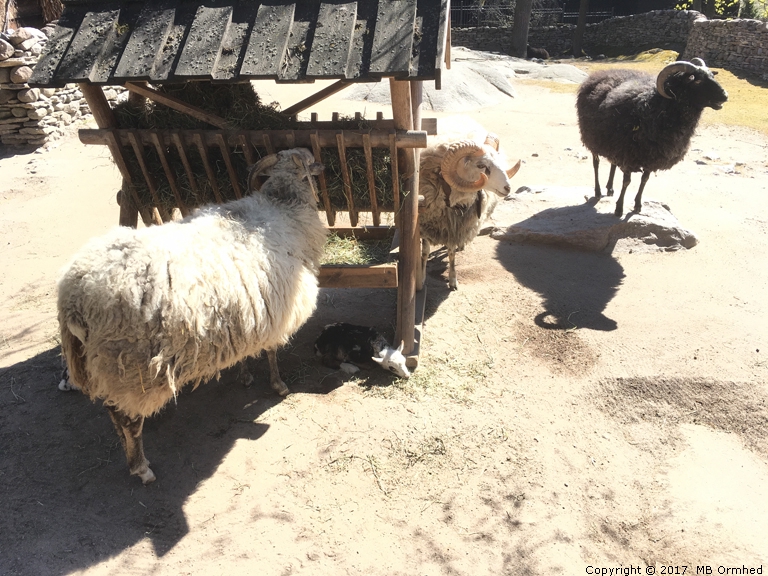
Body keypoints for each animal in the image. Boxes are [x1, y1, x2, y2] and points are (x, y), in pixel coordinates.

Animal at [56, 146, 328, 484]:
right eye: (308, 163)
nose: (324, 165)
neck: (284, 204)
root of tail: (74, 296)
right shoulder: (279, 309)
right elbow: (271, 352)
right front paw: (278, 385)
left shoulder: (247, 313)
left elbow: (247, 351)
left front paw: (244, 374)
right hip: (130, 364)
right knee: (126, 417)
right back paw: (140, 466)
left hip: (107, 363)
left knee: (111, 410)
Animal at [420, 116, 520, 288]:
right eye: (481, 165)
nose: (508, 188)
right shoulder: (425, 223)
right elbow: (425, 251)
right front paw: (420, 279)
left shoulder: (454, 226)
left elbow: (451, 252)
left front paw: (453, 279)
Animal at [576, 58, 728, 217]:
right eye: (697, 80)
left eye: (712, 75)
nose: (725, 96)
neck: (655, 107)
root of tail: (600, 73)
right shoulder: (629, 155)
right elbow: (626, 182)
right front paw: (619, 209)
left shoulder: (651, 157)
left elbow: (644, 179)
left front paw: (637, 205)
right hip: (592, 138)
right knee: (596, 164)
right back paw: (598, 191)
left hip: (613, 142)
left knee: (613, 163)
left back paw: (610, 188)